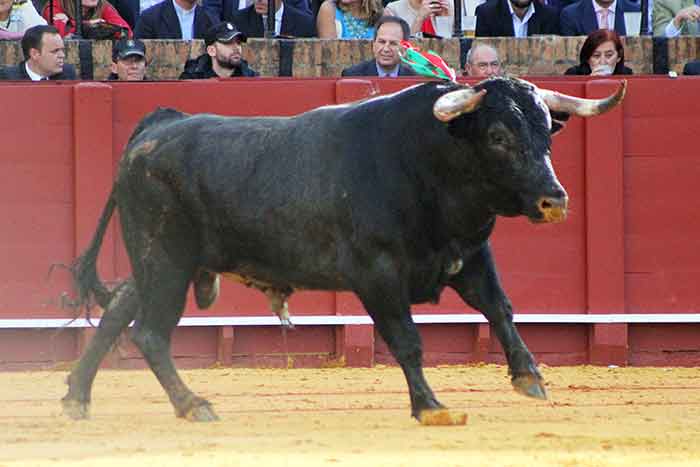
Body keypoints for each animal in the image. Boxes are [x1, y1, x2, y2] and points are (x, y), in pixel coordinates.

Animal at [63, 78, 628, 426]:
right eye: (496, 136)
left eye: (546, 133)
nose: (553, 200)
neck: (423, 159)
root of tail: (156, 126)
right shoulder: (377, 273)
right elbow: (406, 340)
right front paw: (431, 407)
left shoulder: (468, 257)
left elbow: (501, 309)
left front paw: (529, 376)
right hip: (166, 258)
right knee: (150, 332)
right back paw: (193, 404)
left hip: (161, 261)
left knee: (118, 312)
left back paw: (76, 397)